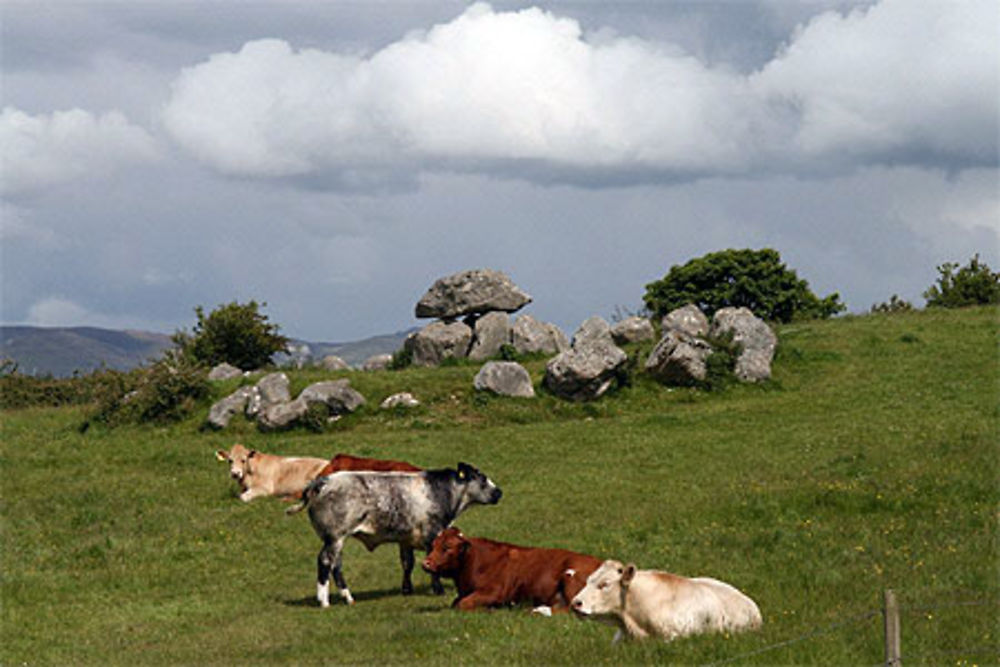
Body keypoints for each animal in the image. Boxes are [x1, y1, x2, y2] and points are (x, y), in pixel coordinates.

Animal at [288, 462, 504, 608]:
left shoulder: (405, 539)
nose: (499, 492)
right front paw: (438, 590)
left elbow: (407, 563)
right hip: (335, 537)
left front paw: (407, 590)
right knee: (325, 562)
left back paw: (348, 598)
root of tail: (323, 481)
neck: (441, 491)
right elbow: (431, 564)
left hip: (336, 540)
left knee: (336, 566)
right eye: (482, 478)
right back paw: (324, 601)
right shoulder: (432, 534)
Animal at [422, 528, 600, 616]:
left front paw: (490, 609)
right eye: (433, 545)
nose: (426, 563)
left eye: (447, 547)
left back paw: (538, 610)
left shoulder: (495, 591)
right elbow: (456, 602)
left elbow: (462, 604)